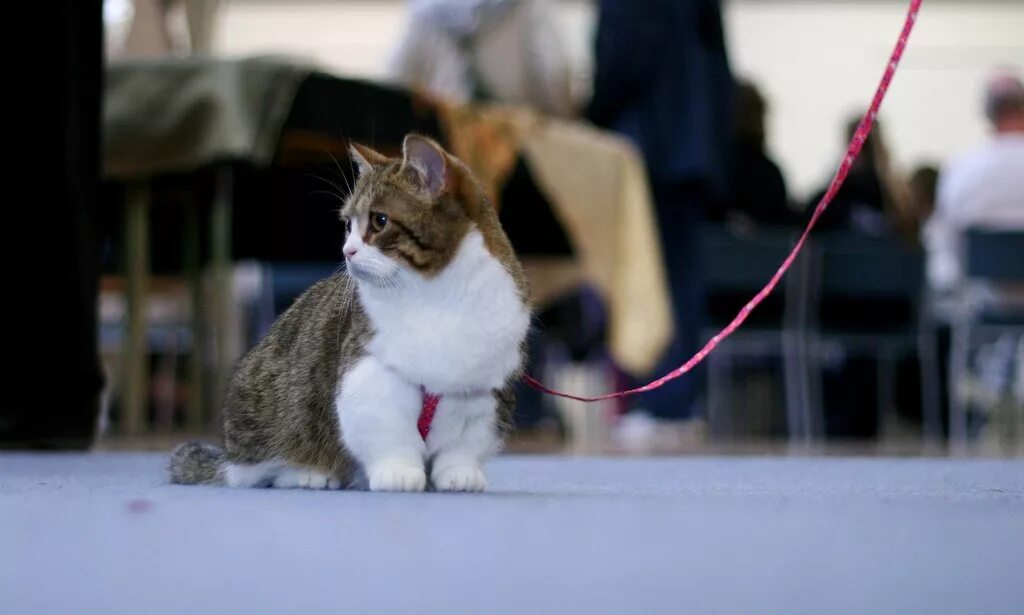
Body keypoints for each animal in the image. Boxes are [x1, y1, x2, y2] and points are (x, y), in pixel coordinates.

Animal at [168, 133, 532, 489]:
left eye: (379, 221)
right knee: (259, 471)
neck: (437, 294)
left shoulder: (482, 390)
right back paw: (307, 474)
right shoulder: (369, 374)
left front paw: (460, 471)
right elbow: (388, 432)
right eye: (348, 226)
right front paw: (398, 470)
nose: (347, 251)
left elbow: (463, 444)